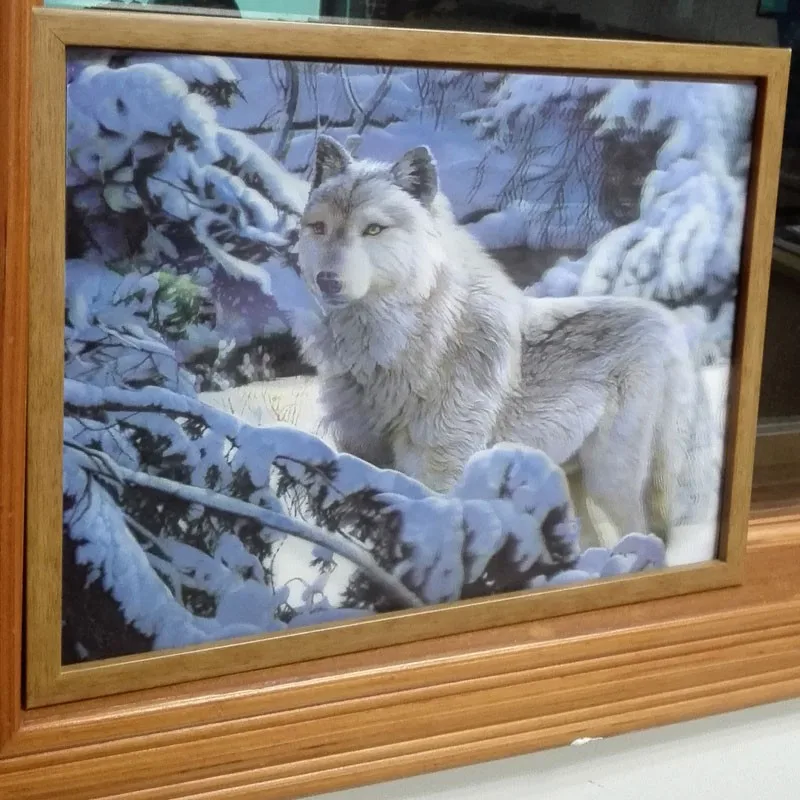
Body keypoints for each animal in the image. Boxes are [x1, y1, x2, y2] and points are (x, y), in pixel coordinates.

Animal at [292, 134, 717, 549]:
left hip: (612, 480)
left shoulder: (439, 471)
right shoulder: (361, 458)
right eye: (319, 228)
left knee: (646, 535)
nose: (327, 281)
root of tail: (669, 324)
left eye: (373, 230)